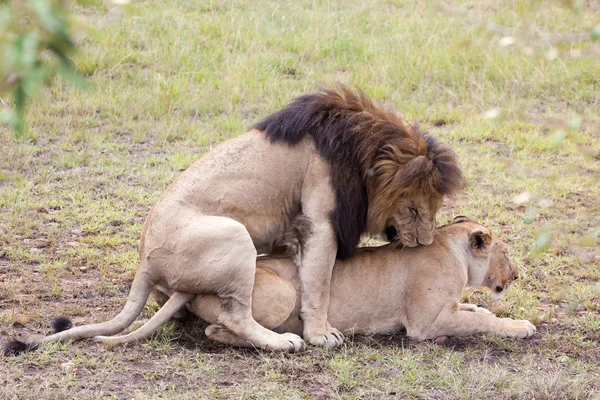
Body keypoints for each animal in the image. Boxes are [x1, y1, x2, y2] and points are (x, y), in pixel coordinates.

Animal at [3, 86, 464, 354]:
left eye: (434, 209)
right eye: (415, 209)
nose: (425, 243)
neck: (361, 148)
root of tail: (144, 262)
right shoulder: (320, 221)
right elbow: (318, 284)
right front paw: (321, 335)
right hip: (234, 234)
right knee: (234, 315)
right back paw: (283, 342)